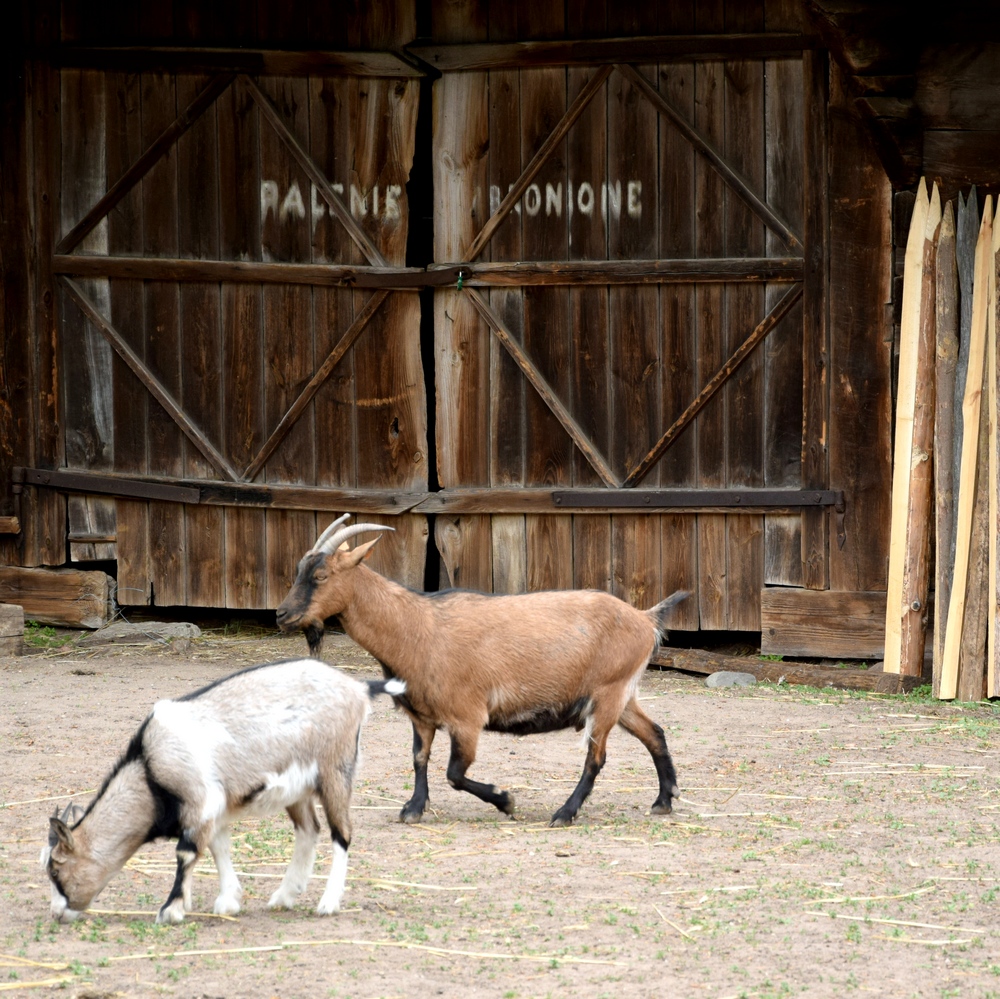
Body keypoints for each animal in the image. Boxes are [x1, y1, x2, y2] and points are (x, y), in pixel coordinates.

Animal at [42, 660, 402, 924]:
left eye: (56, 869)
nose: (57, 913)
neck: (149, 770)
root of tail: (358, 688)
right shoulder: (214, 810)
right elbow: (219, 848)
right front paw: (229, 901)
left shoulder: (200, 803)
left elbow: (186, 854)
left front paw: (171, 910)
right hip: (298, 788)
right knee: (308, 830)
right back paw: (284, 895)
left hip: (336, 771)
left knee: (342, 833)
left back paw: (328, 903)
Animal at [278, 516, 692, 828]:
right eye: (299, 570)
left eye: (320, 576)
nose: (281, 614)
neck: (416, 627)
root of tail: (645, 619)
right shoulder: (421, 716)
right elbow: (419, 759)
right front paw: (413, 808)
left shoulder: (467, 718)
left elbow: (455, 773)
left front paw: (505, 800)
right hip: (622, 696)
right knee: (654, 733)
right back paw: (664, 800)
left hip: (608, 694)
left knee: (596, 757)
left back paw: (565, 812)